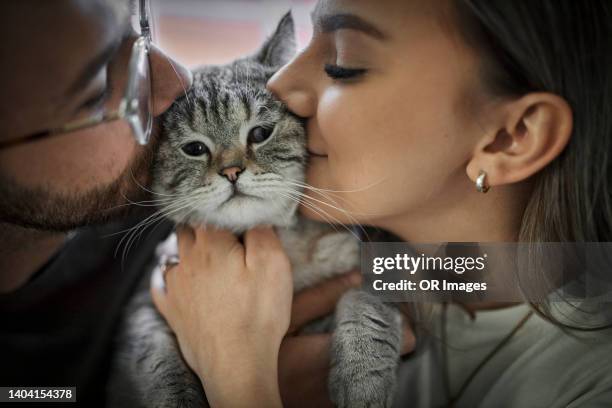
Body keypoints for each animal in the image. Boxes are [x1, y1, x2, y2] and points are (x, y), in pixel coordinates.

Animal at [107, 12, 404, 408]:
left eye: (260, 133)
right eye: (194, 149)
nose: (232, 172)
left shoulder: (381, 263)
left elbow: (367, 305)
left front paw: (362, 377)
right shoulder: (147, 300)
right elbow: (158, 359)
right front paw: (178, 399)